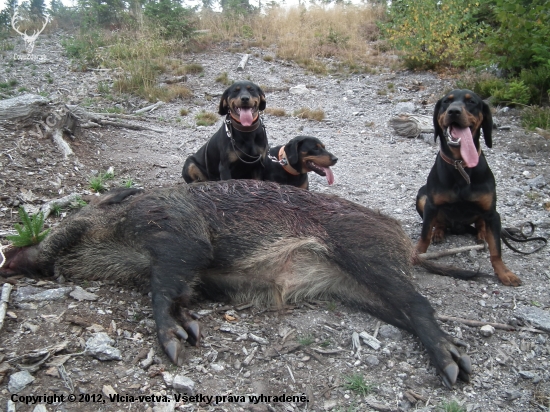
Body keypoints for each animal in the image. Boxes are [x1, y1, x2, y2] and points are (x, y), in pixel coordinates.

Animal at [1, 182, 478, 388]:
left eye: (77, 217)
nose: (10, 255)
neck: (125, 244)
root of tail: (402, 239)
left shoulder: (179, 232)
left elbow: (163, 287)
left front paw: (177, 345)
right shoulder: (192, 272)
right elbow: (179, 290)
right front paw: (190, 328)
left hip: (366, 252)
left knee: (420, 304)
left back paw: (456, 370)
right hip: (355, 289)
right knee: (407, 311)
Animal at [418, 88, 520, 284]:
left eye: (471, 102)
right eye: (446, 102)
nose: (454, 111)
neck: (460, 165)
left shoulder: (492, 213)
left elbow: (496, 249)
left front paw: (504, 272)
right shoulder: (431, 205)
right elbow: (424, 236)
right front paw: (417, 255)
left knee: (481, 225)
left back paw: (481, 235)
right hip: (422, 196)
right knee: (439, 223)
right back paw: (439, 233)